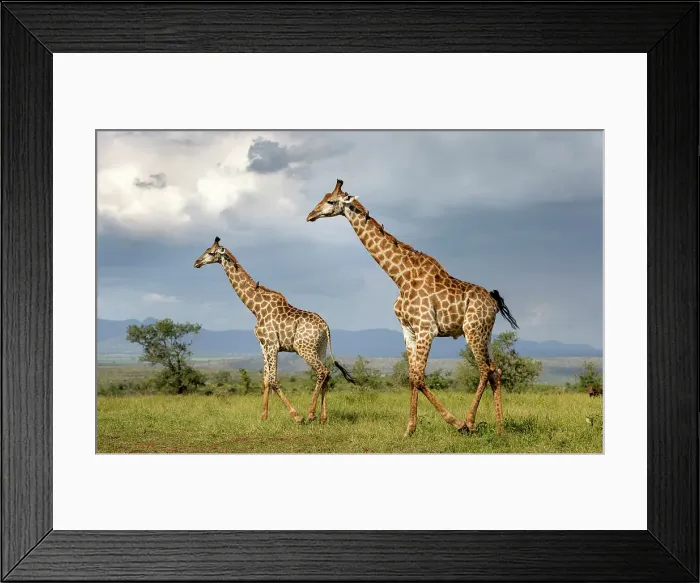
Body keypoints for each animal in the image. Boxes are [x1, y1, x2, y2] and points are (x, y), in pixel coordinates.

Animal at [193, 236, 355, 424]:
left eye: (211, 253)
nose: (196, 262)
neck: (256, 309)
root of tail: (325, 327)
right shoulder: (263, 345)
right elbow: (265, 380)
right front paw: (263, 416)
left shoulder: (272, 344)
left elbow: (273, 380)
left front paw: (296, 416)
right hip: (320, 348)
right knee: (326, 373)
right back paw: (323, 417)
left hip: (304, 348)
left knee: (322, 371)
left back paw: (310, 413)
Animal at [306, 179, 519, 436]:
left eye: (330, 201)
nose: (310, 215)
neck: (400, 277)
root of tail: (493, 301)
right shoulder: (409, 330)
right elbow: (411, 377)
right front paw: (409, 429)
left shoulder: (427, 328)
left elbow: (419, 378)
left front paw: (455, 423)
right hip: (485, 333)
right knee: (495, 370)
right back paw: (500, 429)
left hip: (473, 330)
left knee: (485, 370)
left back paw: (469, 422)